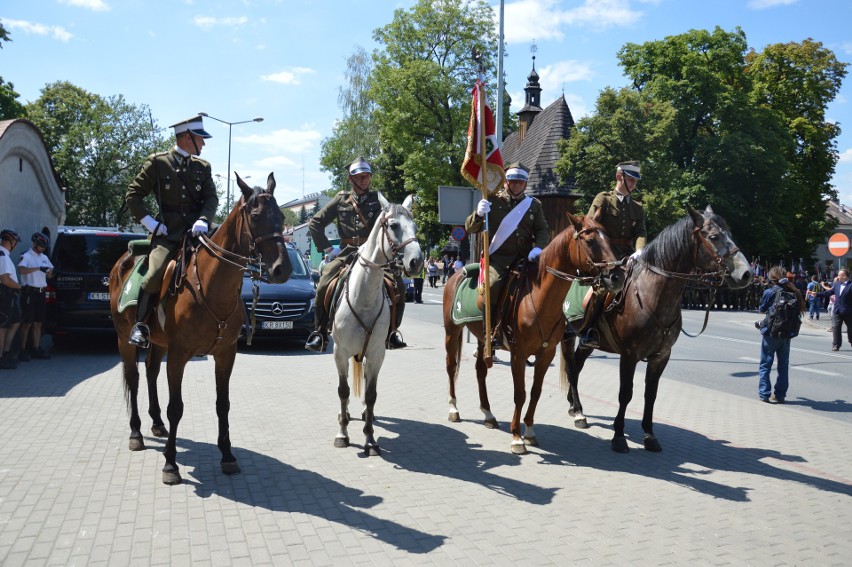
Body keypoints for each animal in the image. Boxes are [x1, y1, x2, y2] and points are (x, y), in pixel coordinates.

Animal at [110, 172, 292, 484]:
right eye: (256, 216)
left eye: (281, 216)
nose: (283, 269)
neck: (210, 284)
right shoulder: (179, 354)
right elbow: (176, 407)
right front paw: (170, 464)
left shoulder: (225, 354)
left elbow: (223, 404)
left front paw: (227, 455)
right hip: (124, 338)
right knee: (134, 380)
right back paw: (136, 433)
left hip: (158, 343)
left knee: (150, 372)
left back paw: (156, 424)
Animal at [332, 197, 426, 454]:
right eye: (393, 225)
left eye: (416, 227)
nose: (416, 262)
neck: (363, 296)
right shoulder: (340, 353)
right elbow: (343, 391)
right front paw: (342, 434)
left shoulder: (376, 353)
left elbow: (371, 394)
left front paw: (370, 439)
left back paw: (367, 415)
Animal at [442, 211, 624, 454]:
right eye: (590, 241)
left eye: (609, 239)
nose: (617, 277)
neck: (539, 298)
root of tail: (455, 274)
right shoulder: (518, 355)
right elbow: (520, 394)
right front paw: (516, 437)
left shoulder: (546, 355)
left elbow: (536, 392)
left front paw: (528, 431)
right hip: (451, 331)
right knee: (451, 367)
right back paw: (454, 409)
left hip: (482, 338)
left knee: (481, 370)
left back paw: (488, 414)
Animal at [560, 206, 752, 454]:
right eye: (714, 237)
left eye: (729, 233)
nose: (746, 274)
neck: (652, 296)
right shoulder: (629, 356)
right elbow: (626, 393)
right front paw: (619, 436)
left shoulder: (661, 357)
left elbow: (650, 395)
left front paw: (649, 435)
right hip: (566, 335)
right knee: (572, 369)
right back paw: (579, 412)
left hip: (588, 343)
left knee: (578, 365)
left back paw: (574, 406)